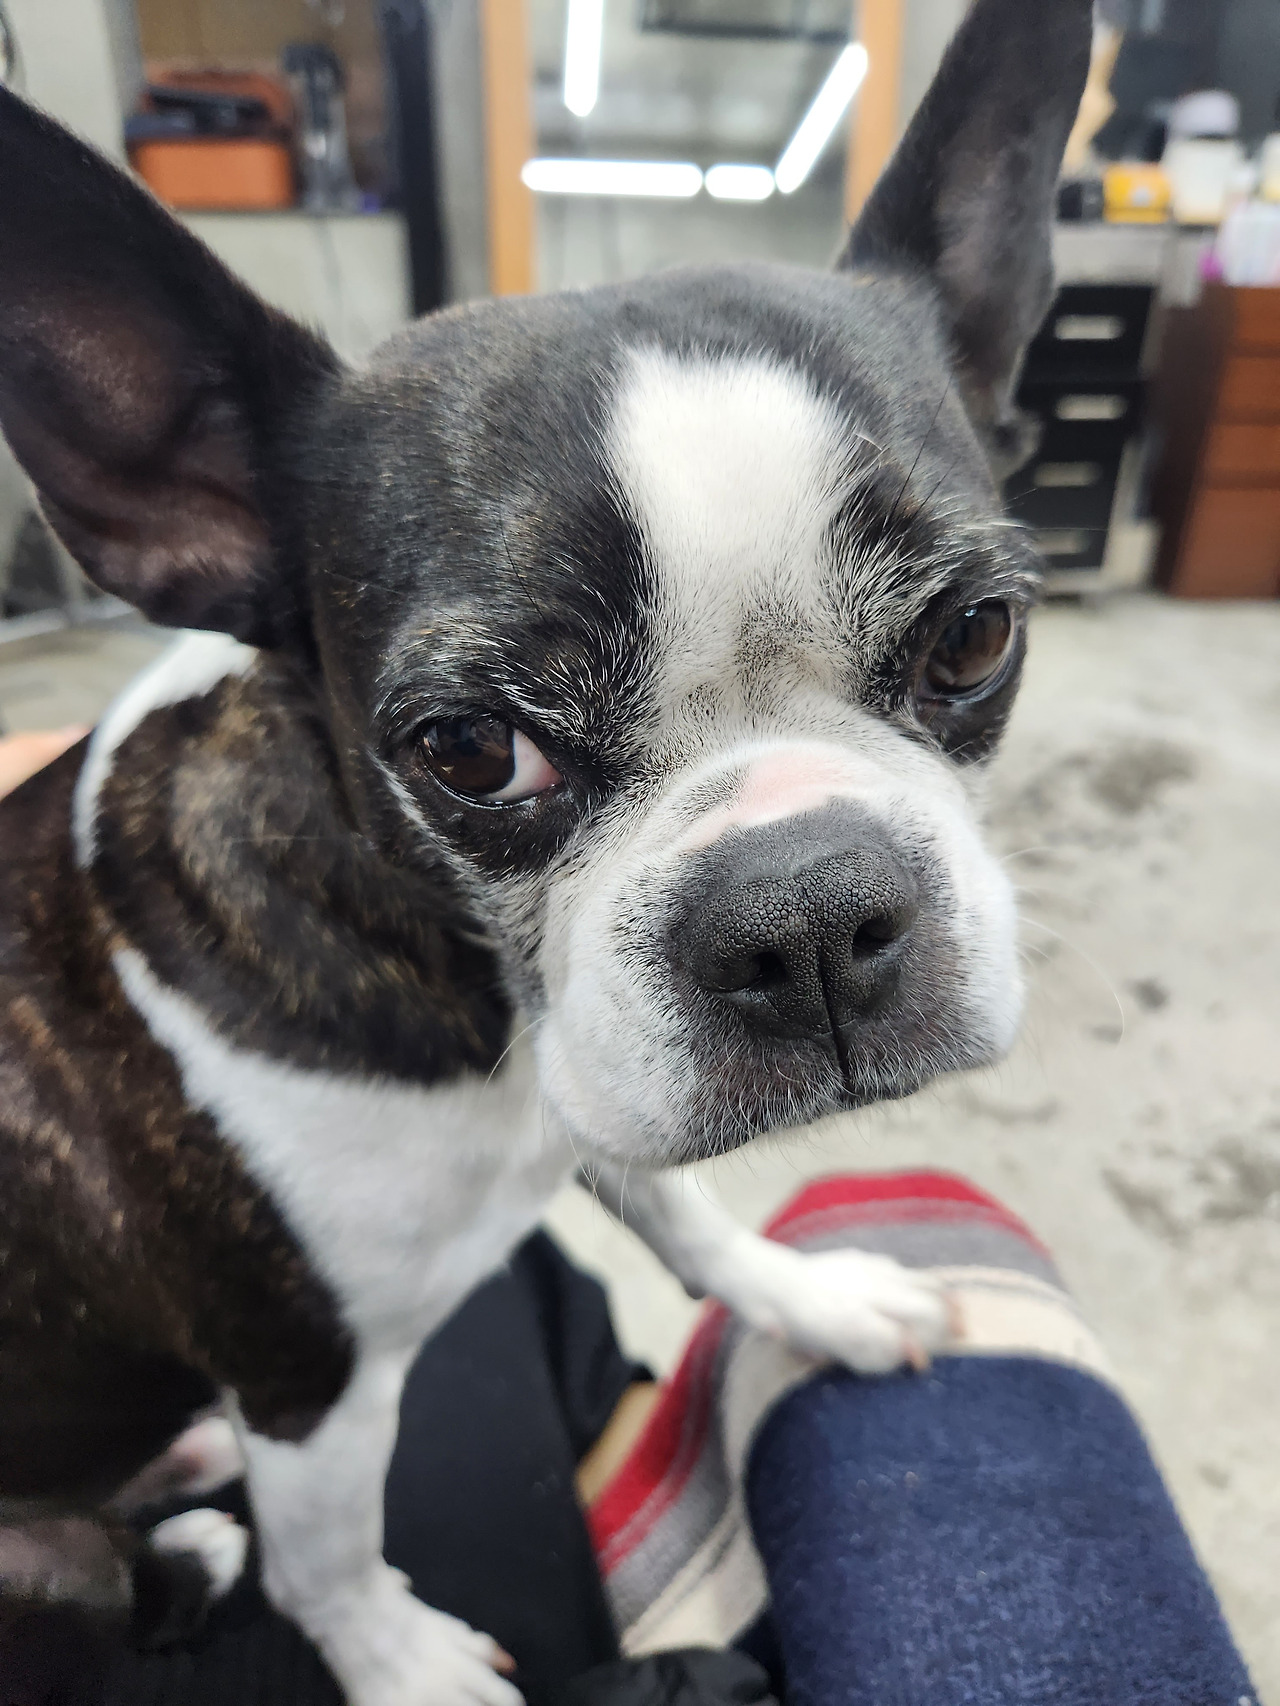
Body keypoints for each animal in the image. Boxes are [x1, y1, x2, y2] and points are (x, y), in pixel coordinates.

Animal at [0, 0, 1091, 1700]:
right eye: (468, 749)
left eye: (976, 636)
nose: (805, 912)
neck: (480, 1009)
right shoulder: (307, 1378)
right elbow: (331, 1557)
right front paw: (406, 1665)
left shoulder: (594, 1080)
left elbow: (686, 1204)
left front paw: (806, 1297)